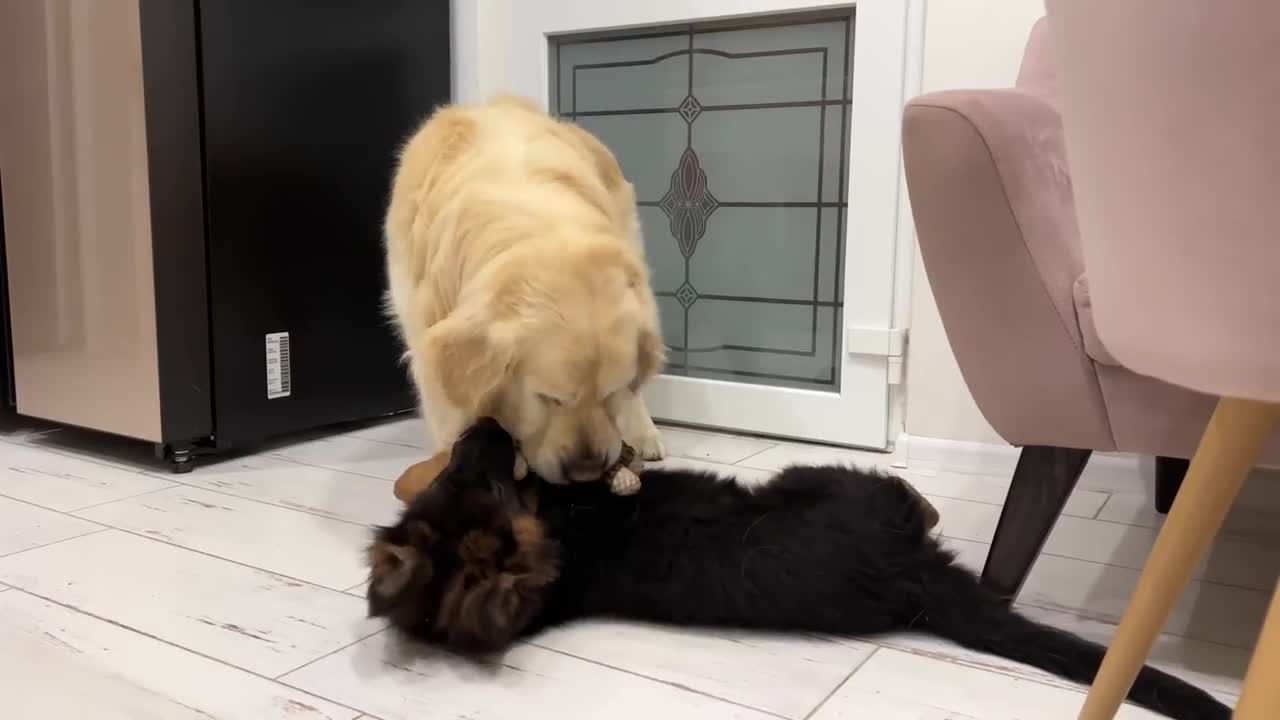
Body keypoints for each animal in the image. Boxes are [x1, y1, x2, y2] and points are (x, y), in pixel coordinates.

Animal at [368, 415, 1228, 717]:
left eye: (462, 476)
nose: (486, 423)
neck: (564, 546)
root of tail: (916, 582)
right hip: (834, 484)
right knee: (908, 496)